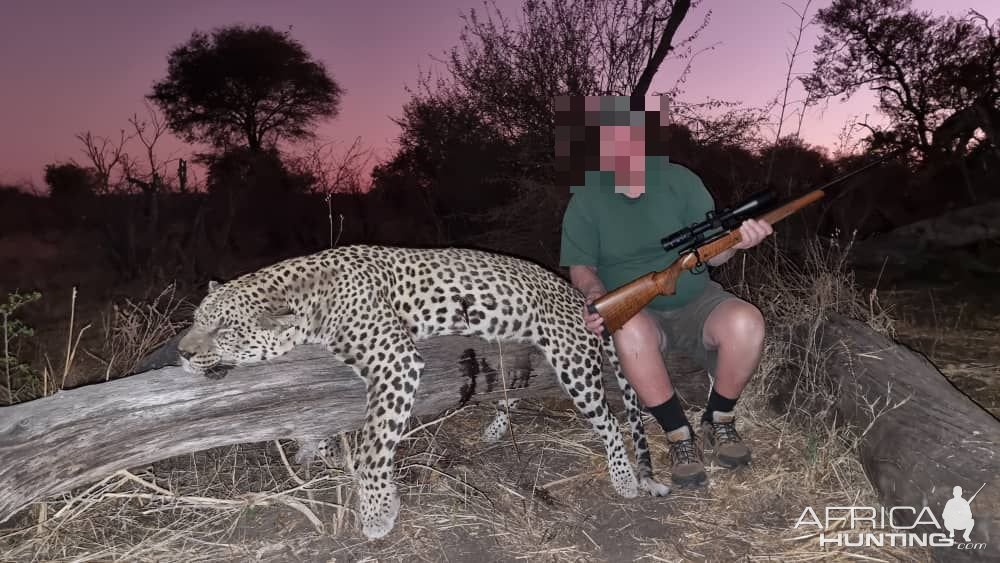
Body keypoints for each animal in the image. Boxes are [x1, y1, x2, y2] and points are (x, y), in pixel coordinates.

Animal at [178, 245, 672, 540]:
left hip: (574, 364)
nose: (181, 353)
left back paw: (624, 479)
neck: (310, 295)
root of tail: (580, 299)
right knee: (515, 391)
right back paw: (495, 431)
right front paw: (321, 452)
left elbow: (373, 447)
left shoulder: (395, 359)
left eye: (223, 330)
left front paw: (378, 512)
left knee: (610, 422)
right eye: (198, 319)